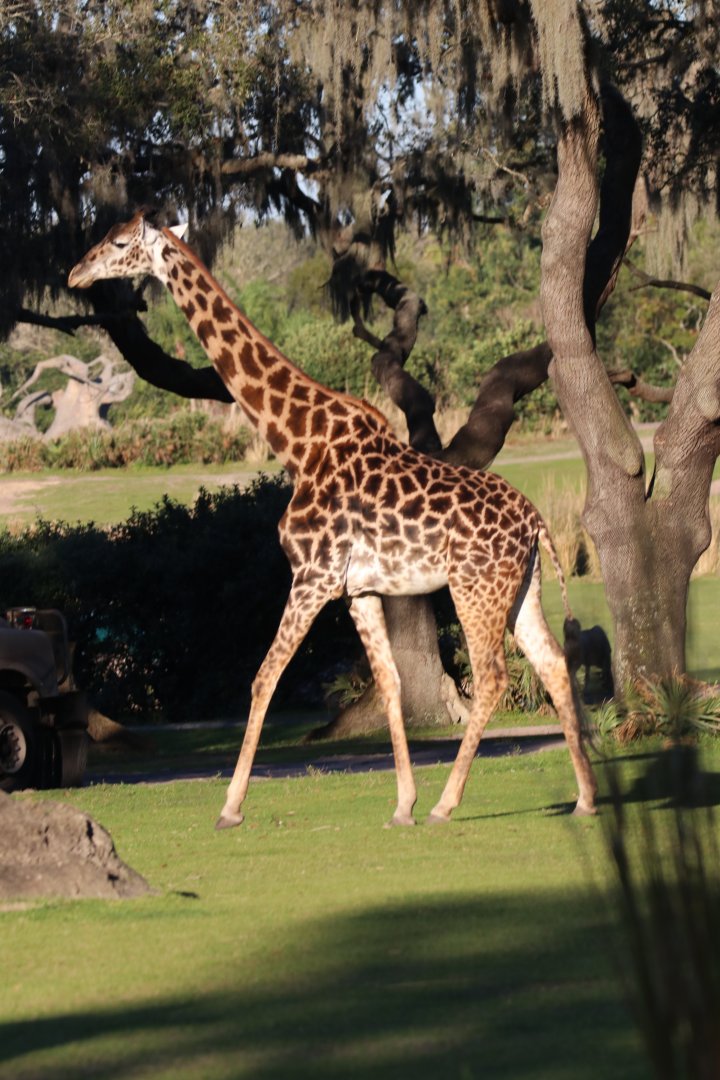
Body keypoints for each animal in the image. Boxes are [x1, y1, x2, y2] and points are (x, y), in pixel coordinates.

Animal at [69, 211, 597, 829]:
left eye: (119, 243)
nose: (77, 273)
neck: (298, 443)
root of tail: (536, 521)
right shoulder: (357, 589)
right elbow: (390, 682)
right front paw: (401, 805)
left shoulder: (311, 576)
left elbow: (264, 677)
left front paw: (230, 807)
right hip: (519, 589)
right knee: (554, 664)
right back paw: (584, 799)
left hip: (475, 587)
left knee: (493, 677)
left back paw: (447, 804)